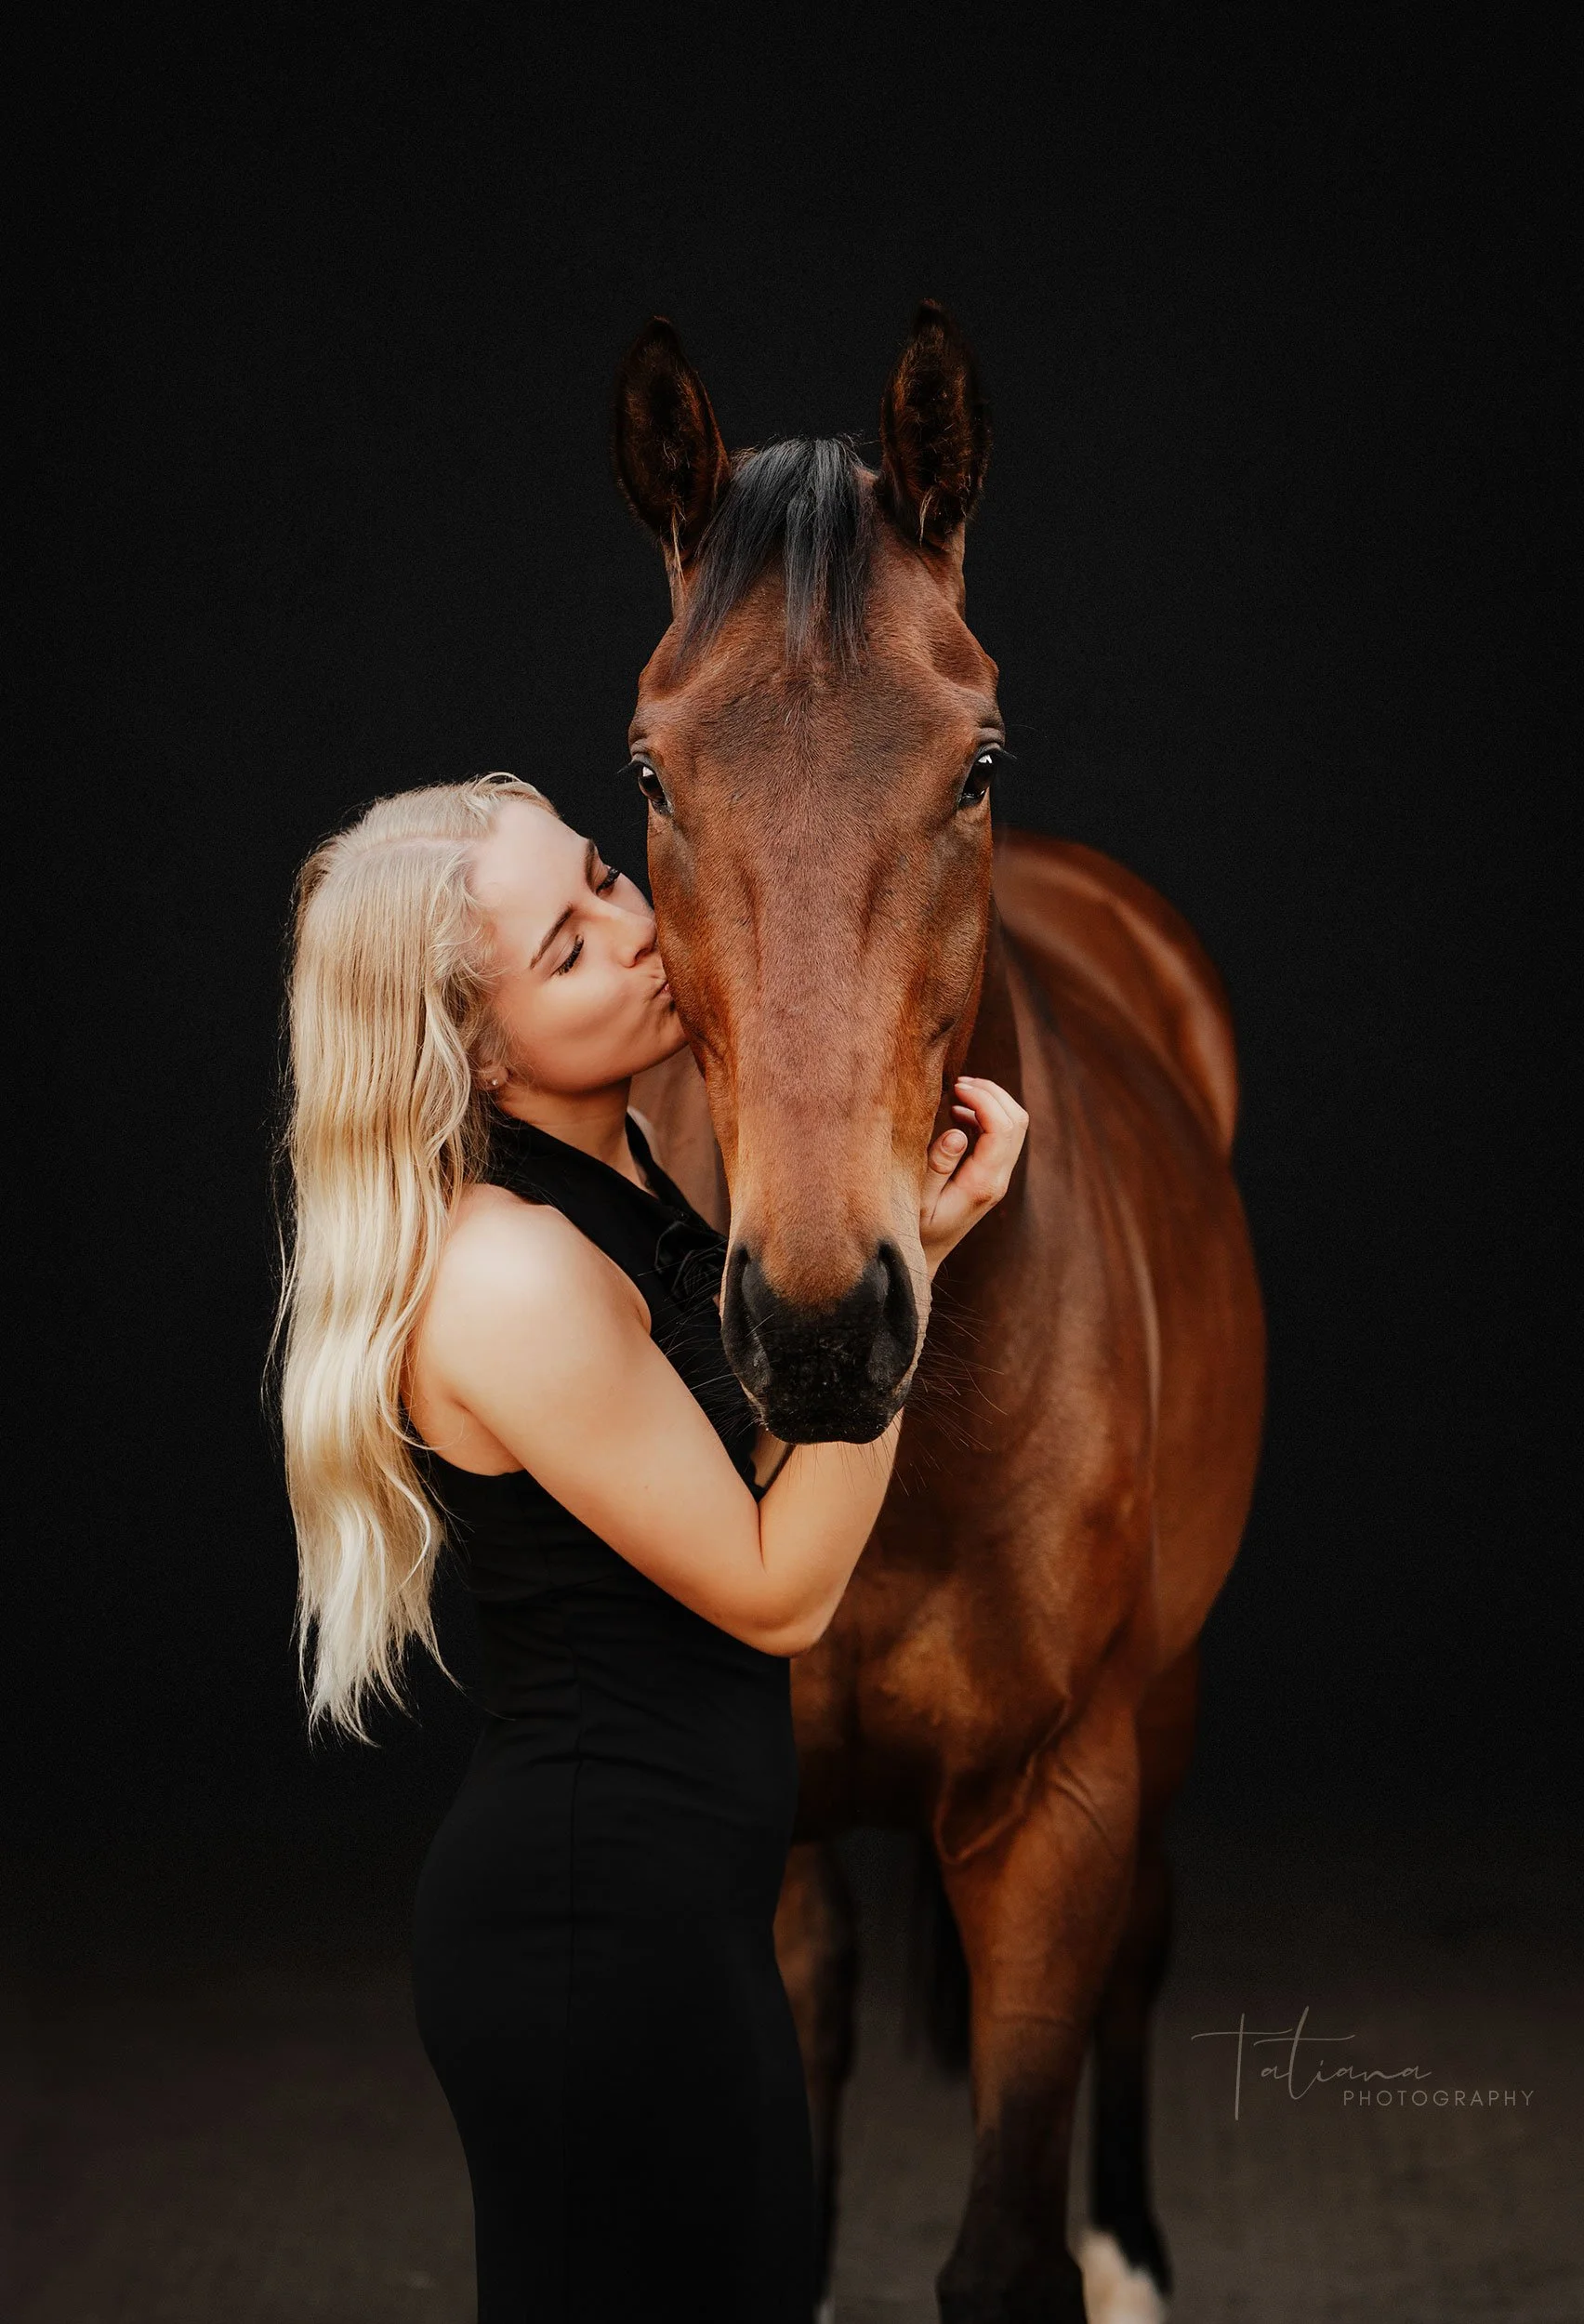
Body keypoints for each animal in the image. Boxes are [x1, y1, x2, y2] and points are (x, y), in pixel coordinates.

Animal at [618, 303, 1265, 2324]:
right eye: (651, 771)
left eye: (975, 757)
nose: (824, 1327)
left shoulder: (1056, 1808)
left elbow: (1002, 2251)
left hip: (1165, 1707)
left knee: (1147, 1952)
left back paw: (1133, 2247)